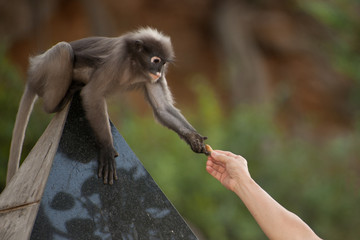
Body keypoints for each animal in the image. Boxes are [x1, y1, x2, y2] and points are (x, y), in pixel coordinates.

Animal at [7, 27, 208, 186]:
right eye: (156, 60)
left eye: (163, 63)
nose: (159, 72)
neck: (134, 65)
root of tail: (32, 76)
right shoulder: (115, 61)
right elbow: (92, 94)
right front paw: (107, 149)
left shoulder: (151, 78)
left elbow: (162, 108)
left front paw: (194, 138)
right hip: (45, 68)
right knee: (64, 51)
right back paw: (61, 100)